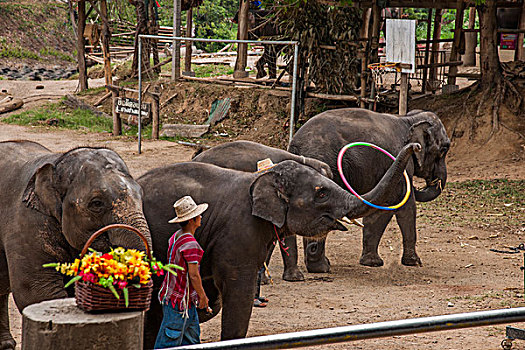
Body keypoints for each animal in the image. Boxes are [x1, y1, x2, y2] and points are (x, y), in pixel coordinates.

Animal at [286, 108, 450, 272]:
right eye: (444, 150)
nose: (416, 146)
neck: (409, 119)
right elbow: (405, 206)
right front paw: (415, 262)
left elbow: (380, 209)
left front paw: (371, 263)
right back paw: (321, 267)